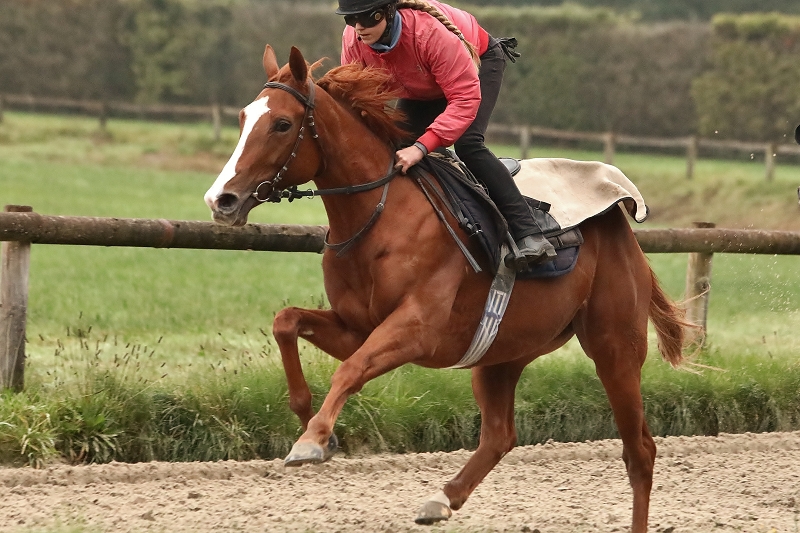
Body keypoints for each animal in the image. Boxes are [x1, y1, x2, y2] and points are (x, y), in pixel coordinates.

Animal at [204, 45, 691, 533]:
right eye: (244, 117)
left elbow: (350, 370)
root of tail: (621, 224)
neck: (379, 216)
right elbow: (287, 322)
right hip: (503, 352)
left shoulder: (416, 329)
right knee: (500, 435)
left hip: (615, 346)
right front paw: (311, 419)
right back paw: (441, 499)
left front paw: (313, 439)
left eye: (283, 124)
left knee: (640, 451)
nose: (221, 200)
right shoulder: (356, 328)